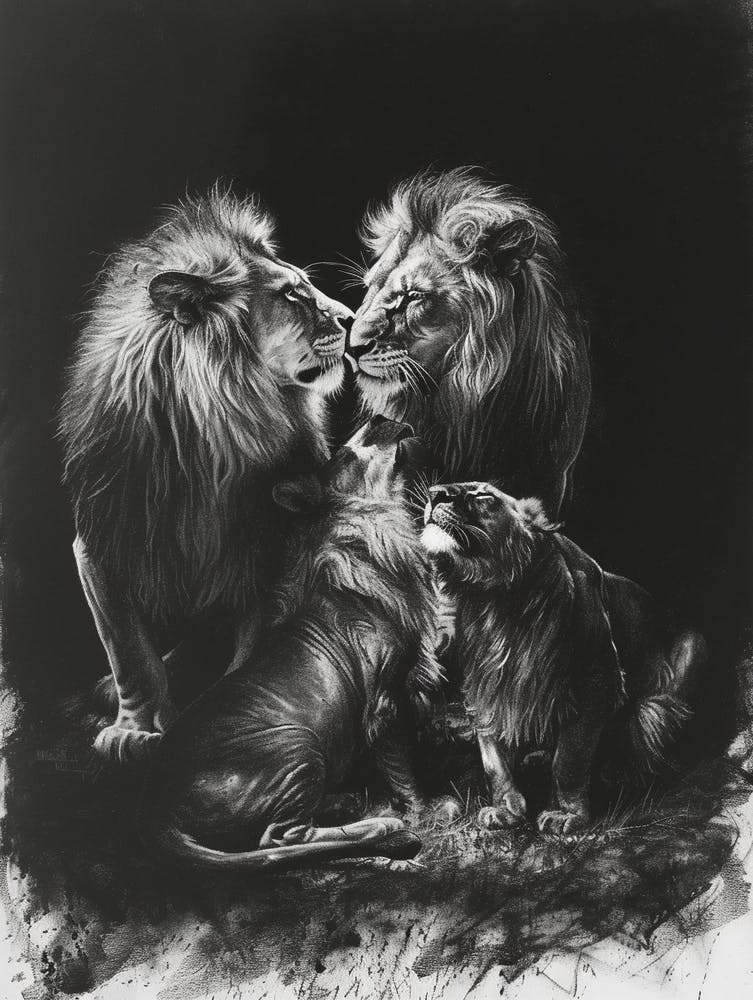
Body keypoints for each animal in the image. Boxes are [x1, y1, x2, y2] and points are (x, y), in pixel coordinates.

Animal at [60, 189, 352, 761]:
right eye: (293, 296)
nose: (353, 318)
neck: (210, 444)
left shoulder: (268, 544)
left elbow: (250, 652)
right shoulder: (100, 538)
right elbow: (130, 651)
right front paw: (135, 728)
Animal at [138, 418, 455, 870]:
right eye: (344, 456)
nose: (378, 418)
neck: (383, 528)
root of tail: (153, 810)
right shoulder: (384, 698)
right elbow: (400, 766)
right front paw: (424, 810)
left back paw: (344, 802)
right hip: (297, 746)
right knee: (280, 840)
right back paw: (384, 827)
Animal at [421, 481, 707, 836]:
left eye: (484, 496)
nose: (434, 493)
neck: (496, 599)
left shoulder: (598, 680)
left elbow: (570, 759)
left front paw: (566, 814)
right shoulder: (485, 684)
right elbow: (494, 761)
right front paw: (506, 809)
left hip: (694, 643)